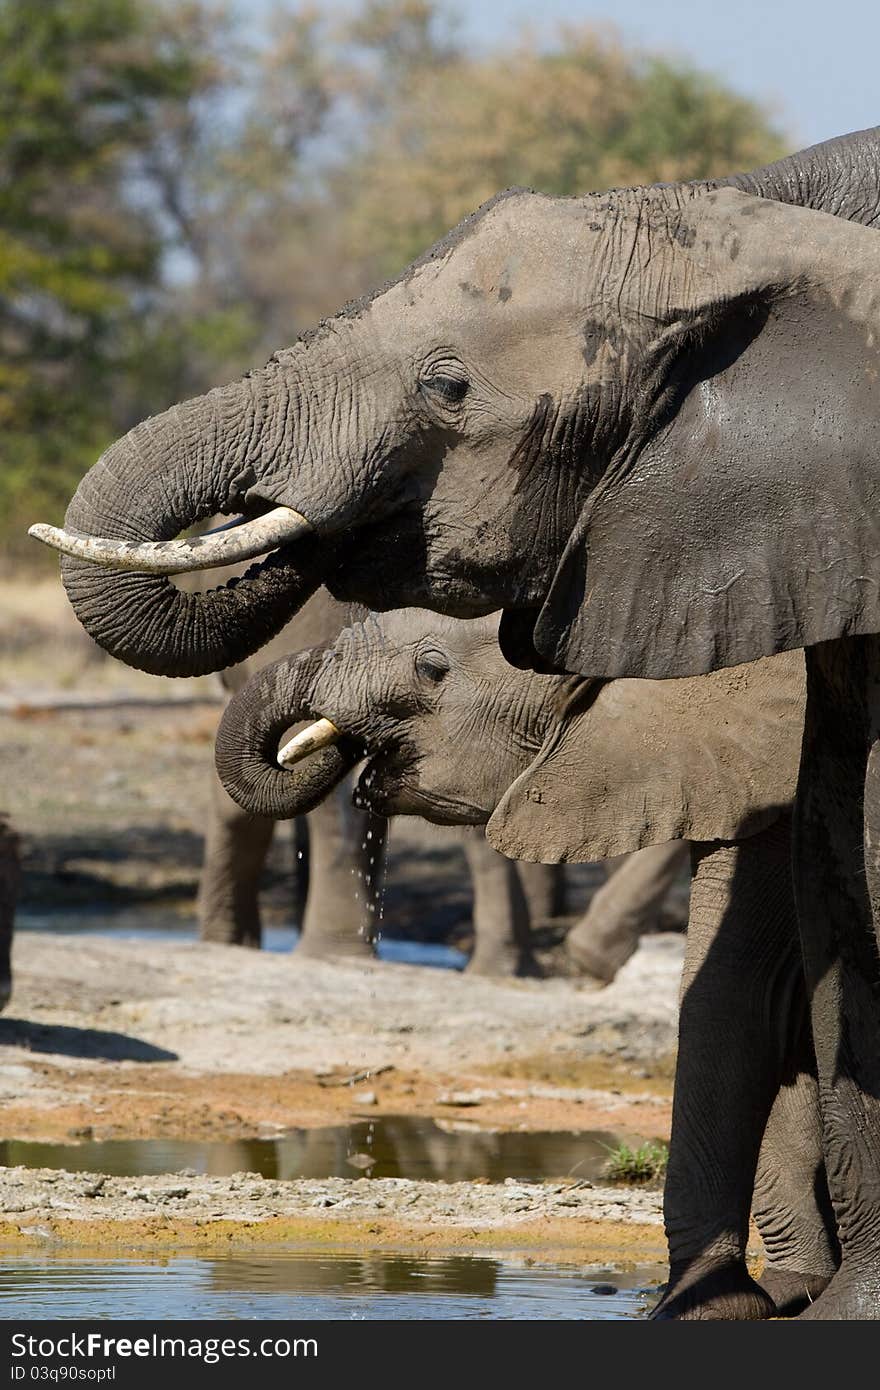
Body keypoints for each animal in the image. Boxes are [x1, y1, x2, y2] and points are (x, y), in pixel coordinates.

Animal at [212, 614, 828, 1317]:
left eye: (432, 668)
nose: (351, 756)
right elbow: (775, 999)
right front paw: (792, 1290)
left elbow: (735, 990)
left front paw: (704, 1308)